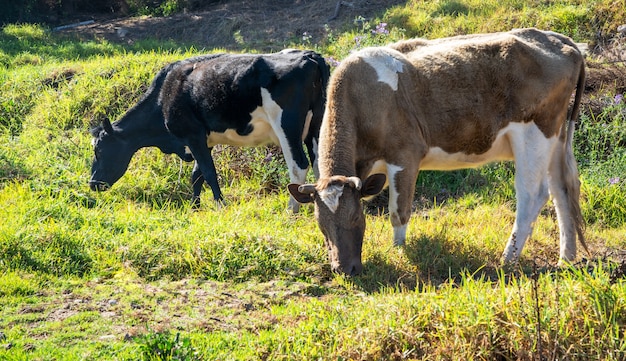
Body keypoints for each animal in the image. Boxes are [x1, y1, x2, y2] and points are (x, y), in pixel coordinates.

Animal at [91, 49, 332, 210]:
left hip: (287, 126)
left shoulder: (192, 135)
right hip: (317, 125)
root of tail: (309, 55)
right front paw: (195, 208)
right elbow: (196, 175)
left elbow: (208, 172)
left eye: (99, 150)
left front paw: (219, 205)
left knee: (298, 166)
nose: (92, 183)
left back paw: (291, 210)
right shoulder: (203, 140)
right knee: (320, 163)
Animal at [290, 28, 588, 274]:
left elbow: (398, 211)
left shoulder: (405, 155)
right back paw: (566, 258)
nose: (344, 269)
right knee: (563, 189)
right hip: (555, 137)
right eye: (320, 221)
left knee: (532, 195)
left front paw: (399, 252)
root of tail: (556, 38)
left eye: (355, 216)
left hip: (534, 133)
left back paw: (508, 259)